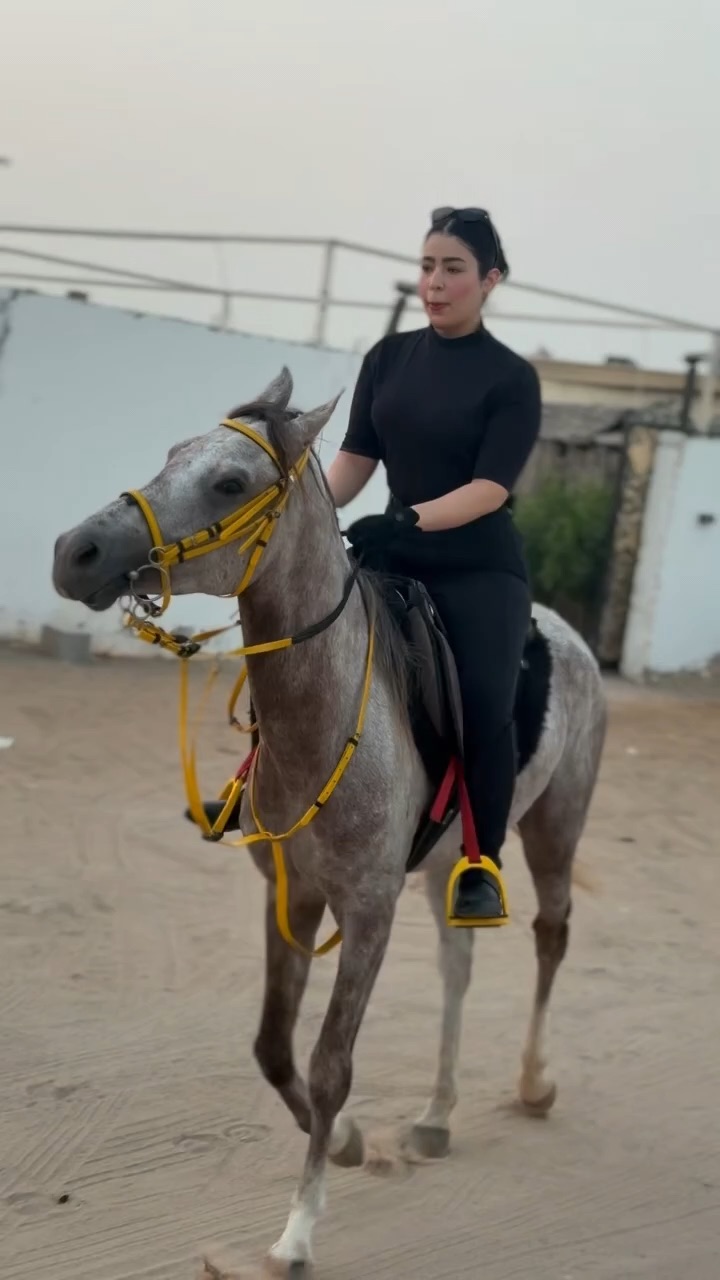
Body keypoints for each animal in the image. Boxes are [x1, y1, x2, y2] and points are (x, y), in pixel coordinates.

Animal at [52, 367, 607, 1275]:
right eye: (172, 452)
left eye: (230, 482)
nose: (76, 551)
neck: (323, 716)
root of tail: (569, 634)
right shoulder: (293, 893)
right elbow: (276, 1048)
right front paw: (343, 1141)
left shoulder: (367, 911)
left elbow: (330, 1061)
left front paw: (299, 1229)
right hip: (450, 862)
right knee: (458, 965)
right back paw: (437, 1116)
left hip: (555, 827)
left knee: (551, 936)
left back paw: (534, 1083)